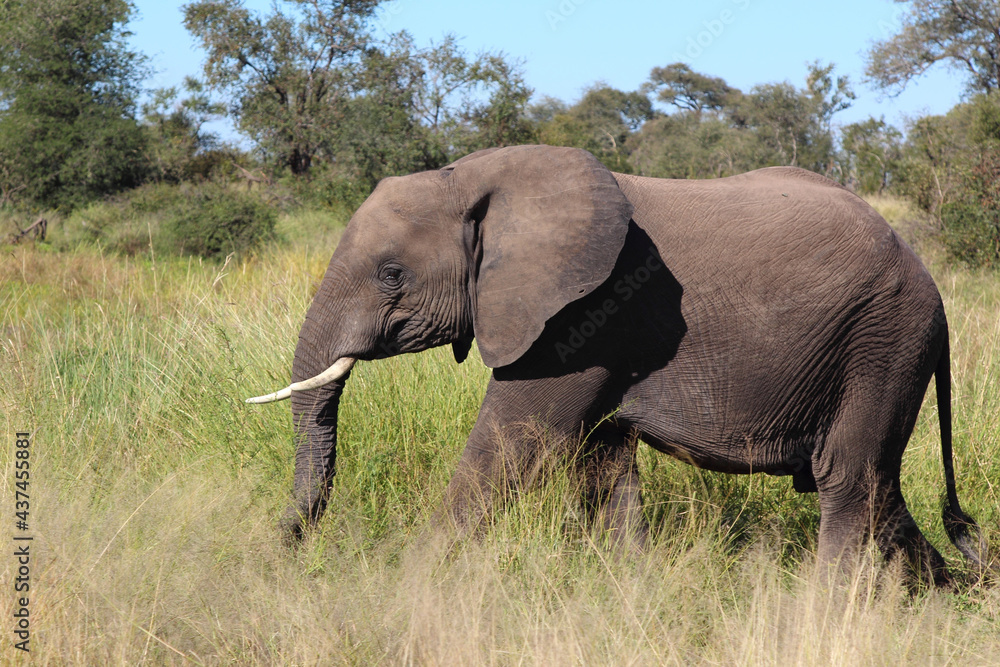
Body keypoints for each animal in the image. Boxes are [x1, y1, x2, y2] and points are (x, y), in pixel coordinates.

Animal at [248, 144, 987, 586]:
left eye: (391, 273)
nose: (283, 551)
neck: (476, 176)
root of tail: (931, 282)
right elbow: (601, 457)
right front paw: (629, 583)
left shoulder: (584, 313)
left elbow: (513, 443)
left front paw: (411, 585)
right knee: (882, 491)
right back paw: (954, 593)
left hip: (882, 340)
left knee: (848, 478)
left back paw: (820, 609)